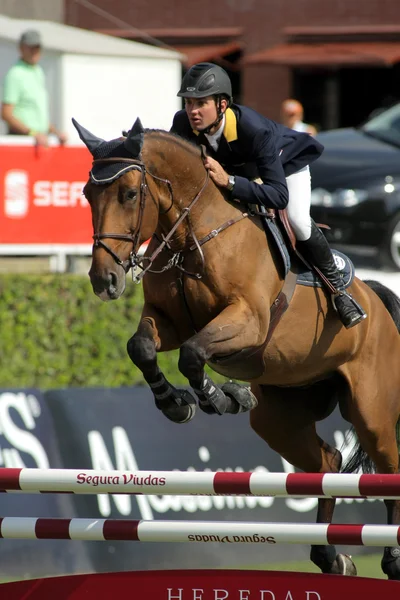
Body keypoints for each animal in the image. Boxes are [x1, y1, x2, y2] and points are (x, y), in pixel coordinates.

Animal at [73, 115, 400, 580]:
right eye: (87, 194)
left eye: (130, 193)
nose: (104, 281)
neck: (192, 234)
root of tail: (376, 298)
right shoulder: (168, 321)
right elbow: (142, 348)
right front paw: (177, 402)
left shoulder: (248, 321)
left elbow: (194, 354)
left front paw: (220, 397)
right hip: (280, 418)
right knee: (328, 463)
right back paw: (331, 557)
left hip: (371, 410)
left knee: (387, 469)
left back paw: (391, 557)